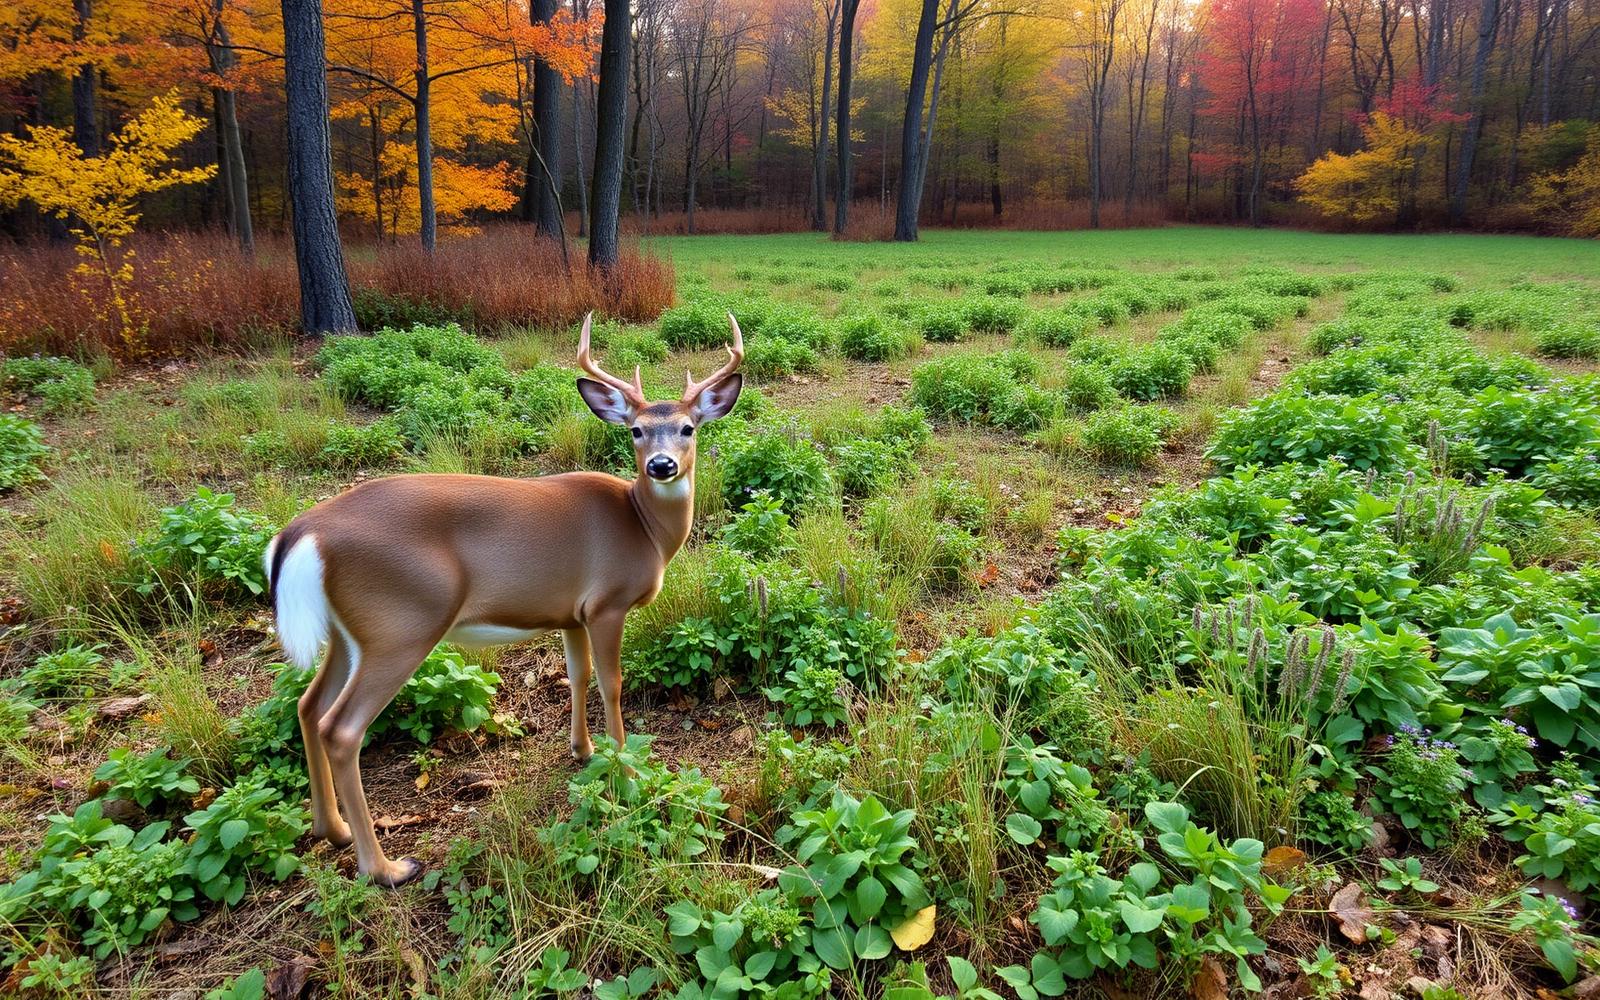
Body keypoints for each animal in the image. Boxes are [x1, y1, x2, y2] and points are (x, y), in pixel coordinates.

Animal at [262, 312, 743, 886]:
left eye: (689, 427)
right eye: (636, 430)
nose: (662, 466)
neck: (643, 527)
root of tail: (304, 532)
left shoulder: (573, 613)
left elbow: (577, 675)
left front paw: (582, 750)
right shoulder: (606, 603)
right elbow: (611, 683)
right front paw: (623, 764)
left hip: (348, 632)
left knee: (308, 705)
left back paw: (329, 829)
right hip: (400, 624)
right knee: (341, 729)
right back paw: (386, 867)